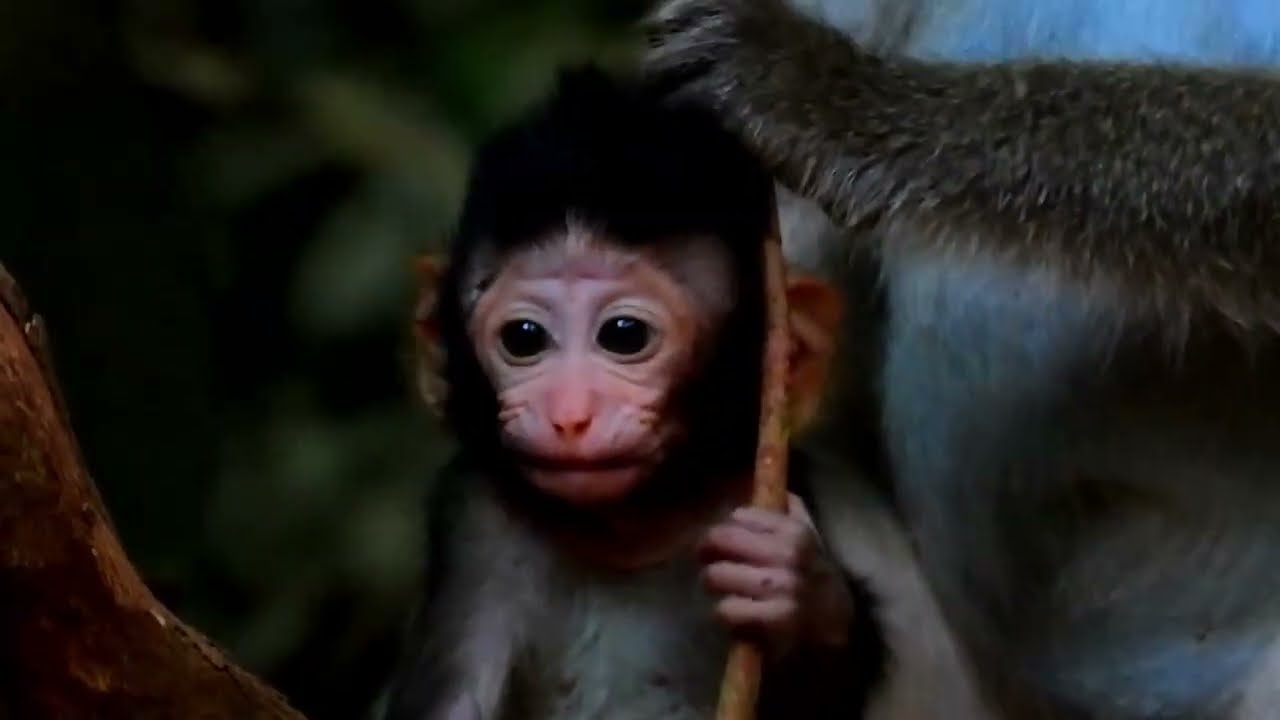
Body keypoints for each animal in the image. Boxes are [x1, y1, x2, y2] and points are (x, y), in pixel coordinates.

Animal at [381, 65, 991, 720]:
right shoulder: (475, 522)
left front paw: (799, 601)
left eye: (624, 335)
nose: (569, 415)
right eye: (524, 338)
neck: (634, 537)